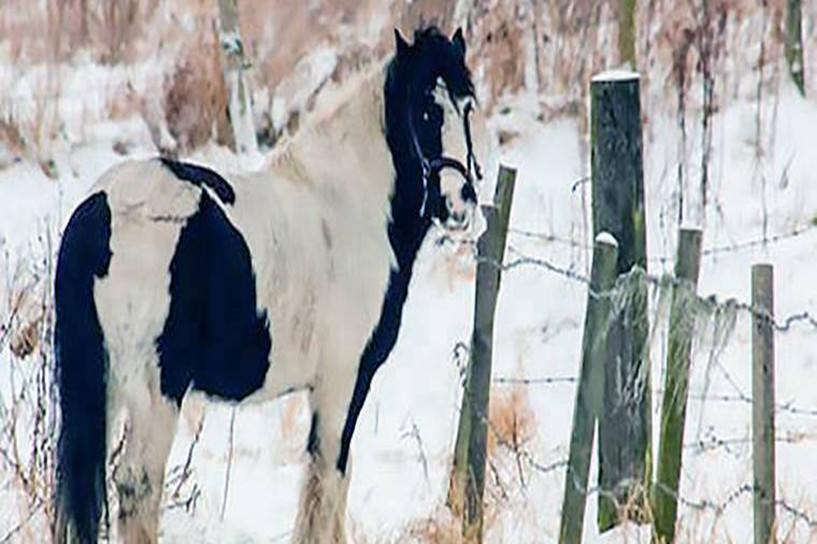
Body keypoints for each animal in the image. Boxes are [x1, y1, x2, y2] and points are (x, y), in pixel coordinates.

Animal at [54, 26, 488, 544]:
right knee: (138, 485)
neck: (350, 205)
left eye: (467, 106)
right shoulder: (343, 380)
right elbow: (328, 483)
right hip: (154, 390)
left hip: (103, 387)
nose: (460, 203)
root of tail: (100, 210)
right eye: (425, 108)